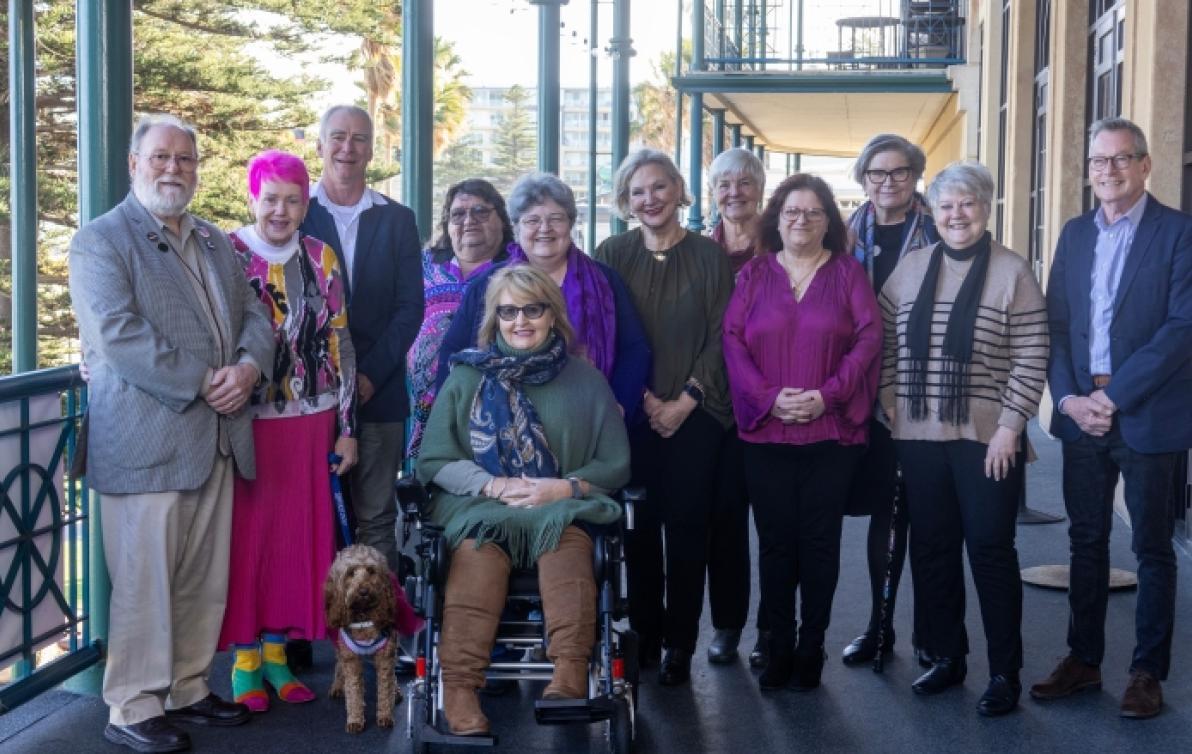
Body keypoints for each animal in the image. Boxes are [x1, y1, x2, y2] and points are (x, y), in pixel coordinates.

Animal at [324, 543, 398, 733]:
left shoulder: (385, 655)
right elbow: (353, 689)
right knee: (339, 664)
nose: (364, 590)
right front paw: (355, 720)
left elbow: (385, 686)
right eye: (351, 573)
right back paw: (337, 686)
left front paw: (385, 715)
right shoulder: (350, 658)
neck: (364, 615)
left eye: (371, 570)